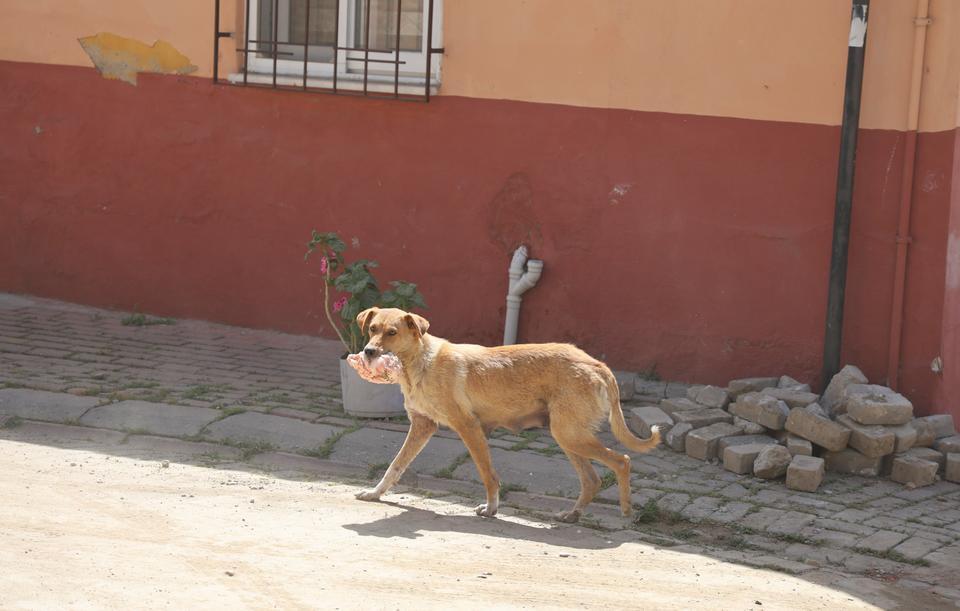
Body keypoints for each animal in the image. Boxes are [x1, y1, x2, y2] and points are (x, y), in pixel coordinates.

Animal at [352, 308, 660, 524]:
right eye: (373, 329)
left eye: (392, 333)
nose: (368, 351)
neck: (419, 363)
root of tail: (598, 365)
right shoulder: (422, 425)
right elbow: (396, 465)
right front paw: (375, 493)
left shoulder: (469, 427)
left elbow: (488, 474)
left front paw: (491, 508)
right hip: (568, 436)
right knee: (592, 480)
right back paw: (572, 515)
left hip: (570, 435)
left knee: (622, 461)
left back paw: (626, 511)